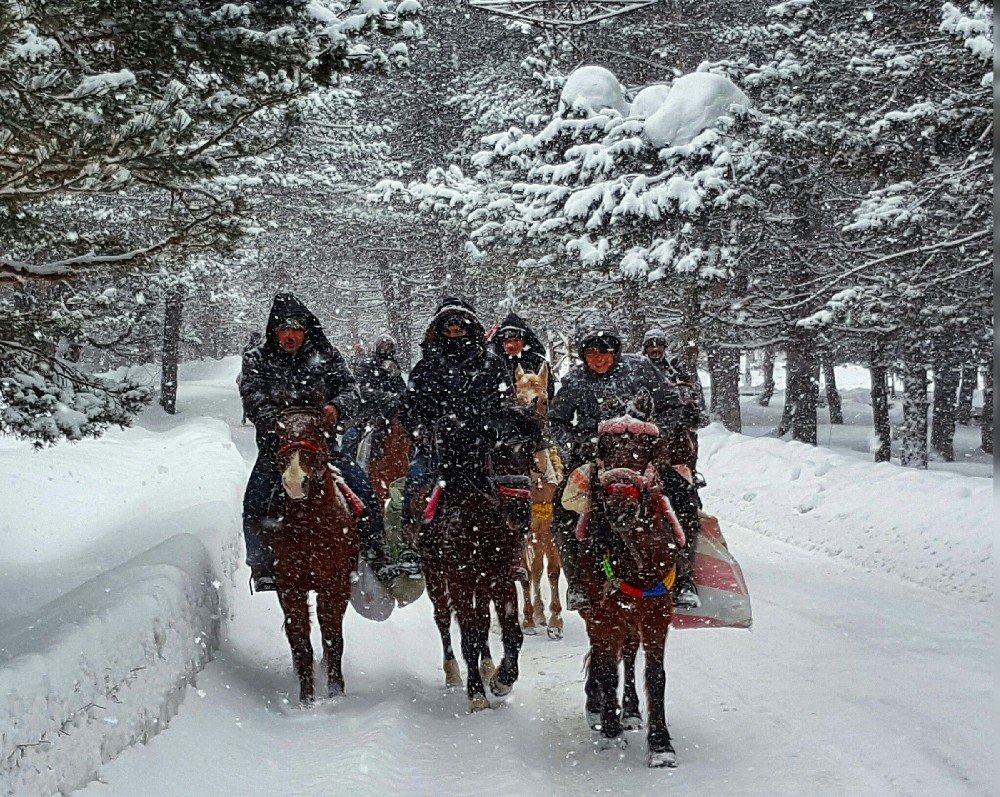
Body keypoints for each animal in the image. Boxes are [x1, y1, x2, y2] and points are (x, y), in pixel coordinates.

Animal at [270, 410, 360, 704]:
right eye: (282, 436)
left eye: (317, 434)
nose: (294, 482)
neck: (309, 526)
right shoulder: (289, 587)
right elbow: (300, 641)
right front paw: (306, 699)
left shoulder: (335, 586)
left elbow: (333, 638)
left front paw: (335, 691)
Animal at [576, 410, 692, 764]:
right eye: (603, 450)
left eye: (646, 451)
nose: (620, 507)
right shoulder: (603, 613)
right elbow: (605, 667)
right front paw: (611, 731)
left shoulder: (657, 611)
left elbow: (655, 675)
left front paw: (661, 744)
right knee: (603, 656)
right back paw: (599, 707)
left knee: (626, 654)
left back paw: (629, 711)